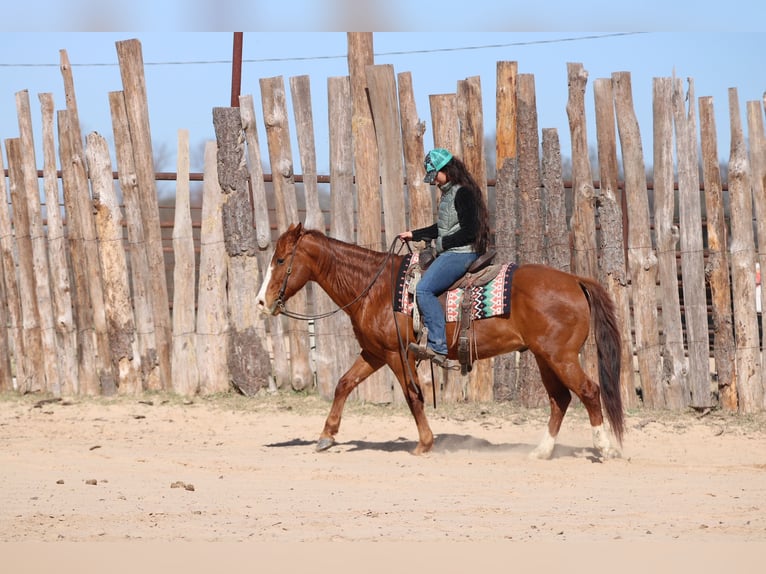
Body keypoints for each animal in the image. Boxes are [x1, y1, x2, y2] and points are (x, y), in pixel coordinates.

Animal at [255, 223, 625, 460]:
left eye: (281, 260)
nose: (261, 302)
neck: (375, 287)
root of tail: (575, 280)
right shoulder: (374, 353)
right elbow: (343, 384)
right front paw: (326, 437)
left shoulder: (397, 354)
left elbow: (413, 396)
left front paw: (425, 443)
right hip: (543, 356)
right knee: (560, 400)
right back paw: (542, 451)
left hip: (560, 356)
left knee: (588, 391)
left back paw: (604, 448)